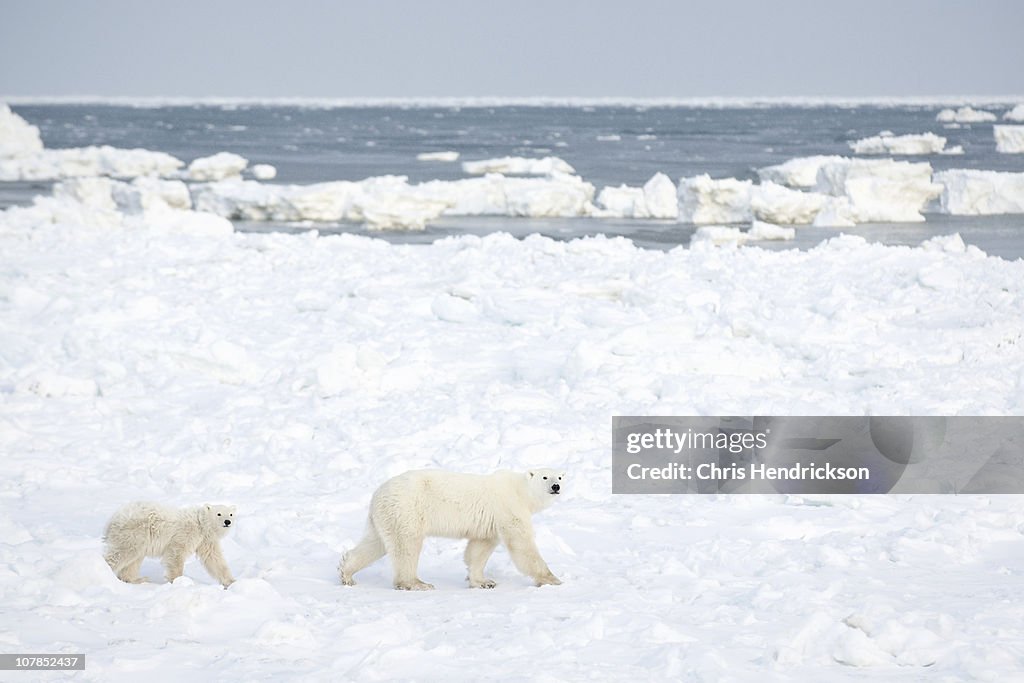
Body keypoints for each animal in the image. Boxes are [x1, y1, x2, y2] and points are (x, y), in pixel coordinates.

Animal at [344, 466, 569, 589]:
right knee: (406, 545)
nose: (556, 486)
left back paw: (346, 573)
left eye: (559, 477)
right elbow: (522, 545)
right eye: (545, 477)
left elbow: (479, 549)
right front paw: (553, 579)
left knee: (375, 543)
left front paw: (483, 581)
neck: (521, 490)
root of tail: (377, 494)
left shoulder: (490, 522)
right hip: (406, 510)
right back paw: (416, 583)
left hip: (386, 516)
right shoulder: (509, 508)